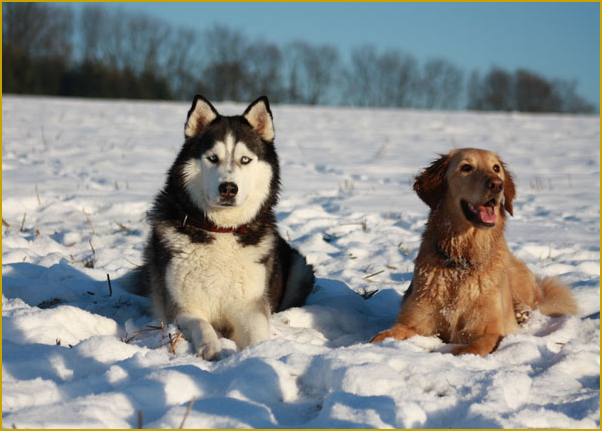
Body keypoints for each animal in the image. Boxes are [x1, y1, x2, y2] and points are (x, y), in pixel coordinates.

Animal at [135, 95, 314, 362]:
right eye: (212, 158)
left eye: (245, 159)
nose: (228, 188)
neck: (222, 230)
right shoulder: (183, 308)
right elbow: (202, 325)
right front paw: (211, 348)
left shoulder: (251, 306)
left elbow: (257, 333)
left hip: (300, 269)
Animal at [370, 148, 576, 358]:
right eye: (466, 167)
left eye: (496, 168)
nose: (497, 184)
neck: (461, 261)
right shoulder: (411, 323)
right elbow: (379, 337)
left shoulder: (489, 332)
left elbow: (469, 350)